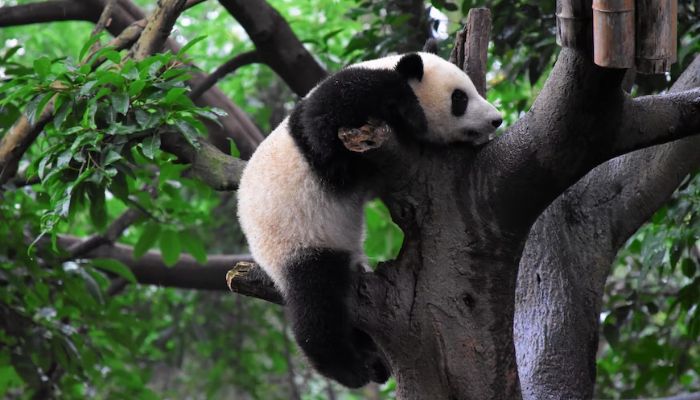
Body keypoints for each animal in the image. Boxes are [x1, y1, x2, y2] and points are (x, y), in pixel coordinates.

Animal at [238, 51, 500, 386]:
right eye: (460, 98)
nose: (496, 119)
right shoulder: (332, 119)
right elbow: (324, 122)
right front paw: (413, 114)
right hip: (295, 240)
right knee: (318, 302)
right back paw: (348, 367)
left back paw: (373, 360)